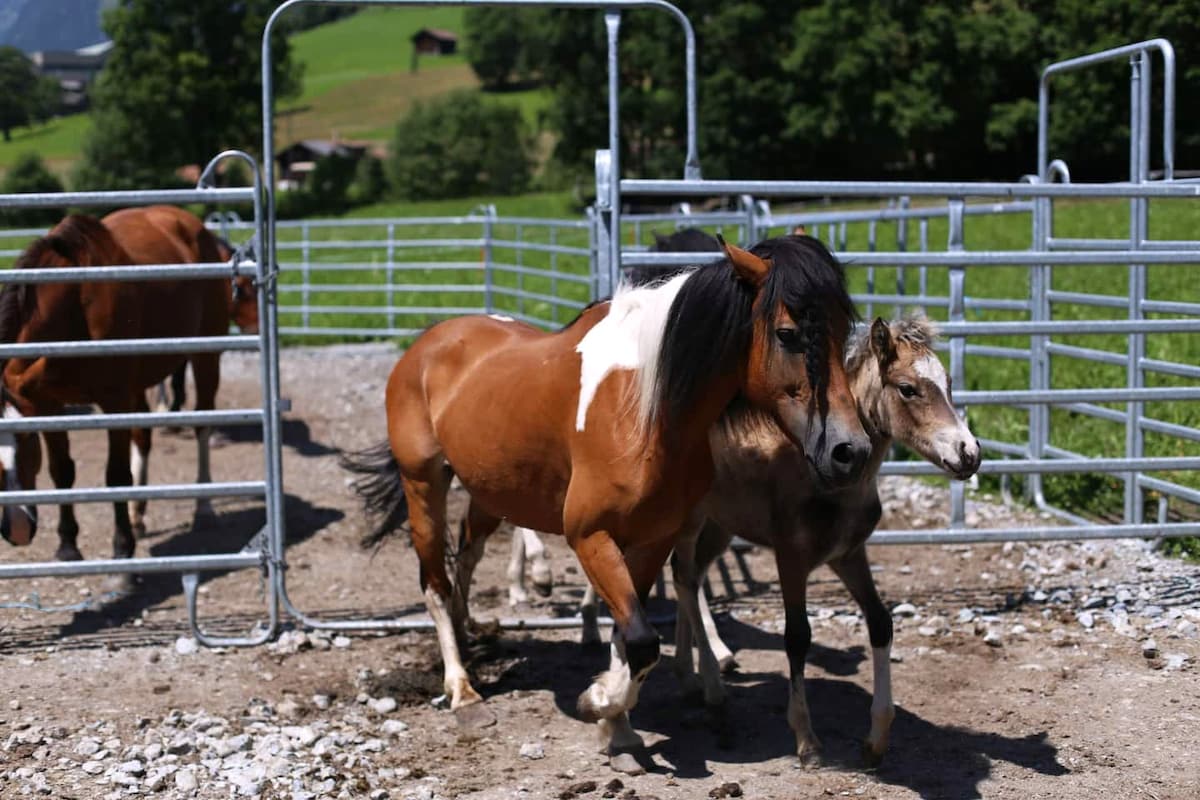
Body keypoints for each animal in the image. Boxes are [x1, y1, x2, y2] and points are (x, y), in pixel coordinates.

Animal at [0, 208, 243, 568]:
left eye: (27, 438)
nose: (16, 527)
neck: (76, 308)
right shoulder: (47, 404)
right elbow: (62, 471)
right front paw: (68, 544)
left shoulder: (113, 401)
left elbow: (115, 474)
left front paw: (122, 545)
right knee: (143, 437)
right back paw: (137, 514)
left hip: (204, 358)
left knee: (202, 426)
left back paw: (204, 508)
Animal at [348, 232, 873, 753]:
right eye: (787, 333)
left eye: (845, 328)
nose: (850, 451)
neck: (644, 409)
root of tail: (427, 343)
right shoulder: (589, 536)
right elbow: (640, 639)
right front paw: (599, 702)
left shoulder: (654, 538)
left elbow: (630, 633)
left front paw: (618, 724)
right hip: (424, 484)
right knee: (434, 581)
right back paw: (462, 689)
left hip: (492, 492)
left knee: (469, 552)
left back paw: (471, 631)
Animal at [672, 316, 979, 767]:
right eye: (908, 388)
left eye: (950, 383)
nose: (969, 453)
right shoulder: (791, 558)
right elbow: (797, 636)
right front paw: (807, 740)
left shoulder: (848, 554)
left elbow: (880, 622)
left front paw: (876, 739)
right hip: (689, 519)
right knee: (683, 577)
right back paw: (710, 684)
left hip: (720, 524)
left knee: (688, 577)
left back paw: (694, 671)